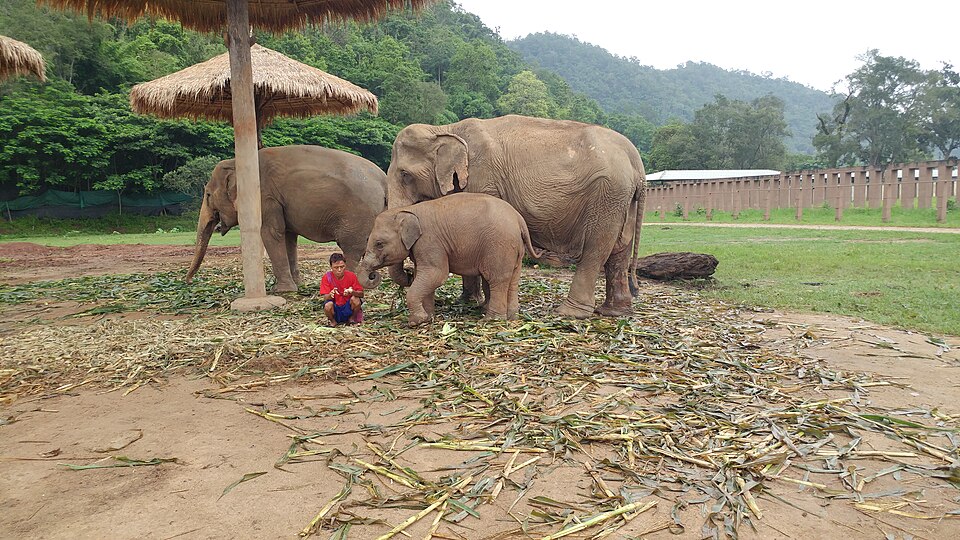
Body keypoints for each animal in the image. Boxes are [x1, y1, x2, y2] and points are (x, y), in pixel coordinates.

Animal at [185, 145, 387, 292]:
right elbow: (289, 238)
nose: (187, 281)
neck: (237, 162)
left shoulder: (265, 197)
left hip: (356, 216)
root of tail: (384, 180)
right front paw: (298, 285)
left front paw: (281, 291)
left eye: (208, 195)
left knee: (351, 249)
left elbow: (271, 233)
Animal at [357, 193, 542, 325]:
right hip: (515, 249)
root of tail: (519, 219)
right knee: (512, 280)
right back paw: (511, 316)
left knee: (497, 280)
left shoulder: (430, 242)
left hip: (499, 246)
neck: (409, 210)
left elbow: (436, 275)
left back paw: (491, 320)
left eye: (379, 244)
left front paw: (416, 322)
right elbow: (424, 276)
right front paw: (428, 317)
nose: (373, 275)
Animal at [381, 114, 646, 319]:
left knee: (596, 248)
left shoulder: (483, 179)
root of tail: (637, 162)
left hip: (607, 196)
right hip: (622, 200)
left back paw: (569, 313)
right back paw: (613, 312)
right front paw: (468, 302)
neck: (445, 129)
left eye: (405, 174)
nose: (409, 274)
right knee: (619, 250)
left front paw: (482, 306)